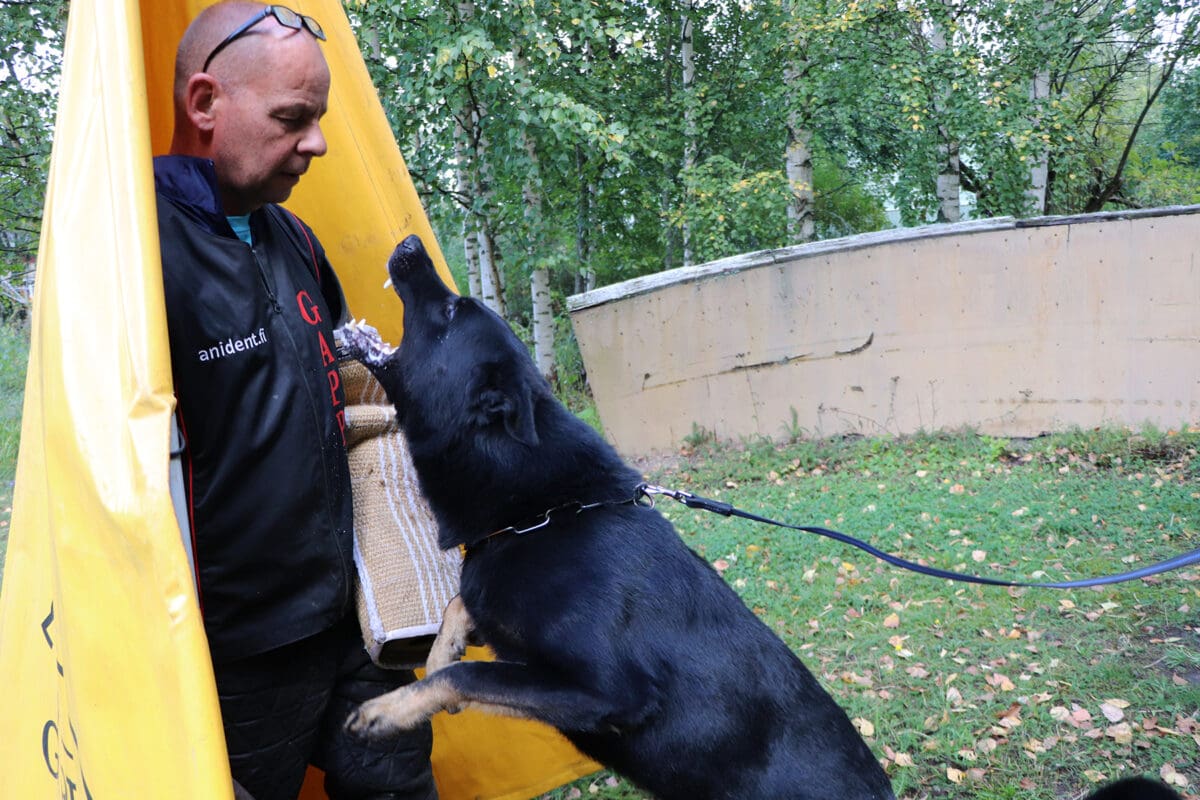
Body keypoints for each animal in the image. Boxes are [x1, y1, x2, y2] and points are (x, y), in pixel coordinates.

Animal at [338, 236, 1180, 800]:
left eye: (450, 310)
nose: (408, 244)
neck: (548, 511)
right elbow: (460, 619)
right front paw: (434, 652)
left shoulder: (609, 691)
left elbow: (471, 674)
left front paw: (386, 708)